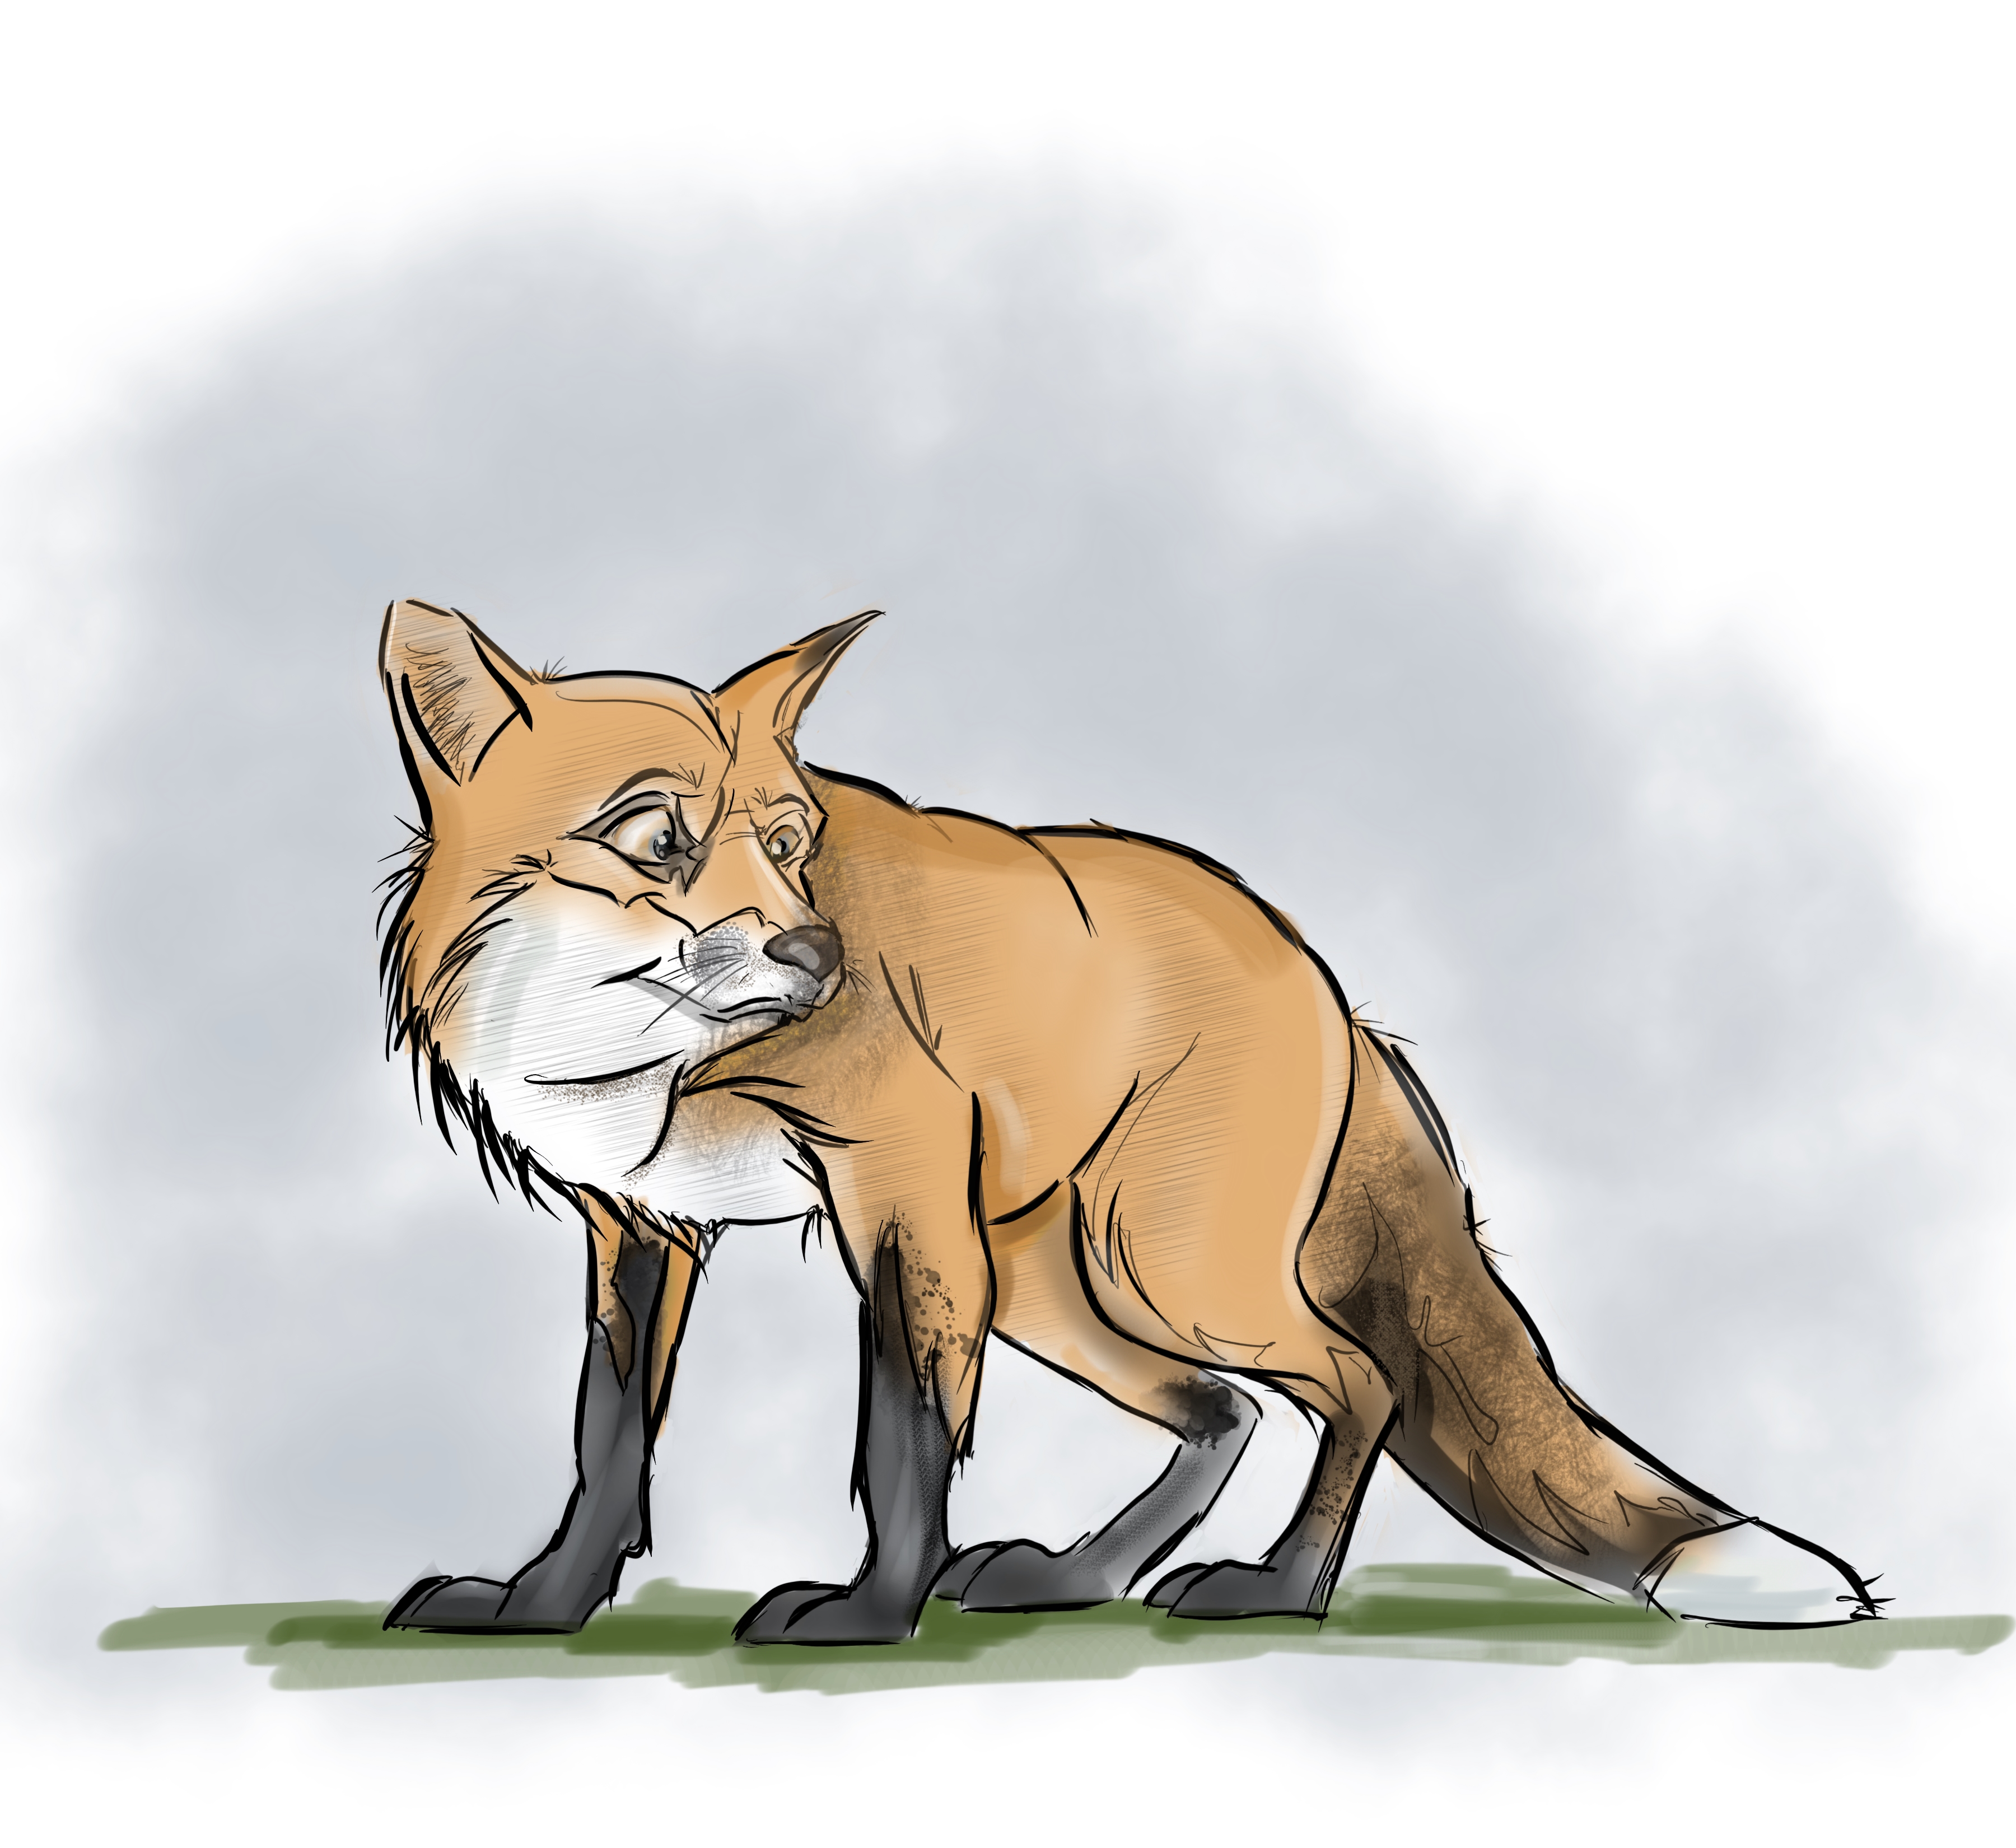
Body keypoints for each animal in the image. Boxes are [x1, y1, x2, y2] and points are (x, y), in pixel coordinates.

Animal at [375, 597, 1881, 1643]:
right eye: (655, 840)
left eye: (792, 842)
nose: (813, 955)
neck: (643, 1058)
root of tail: (1328, 982)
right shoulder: (640, 1226)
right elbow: (607, 1440)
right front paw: (543, 1606)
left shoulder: (894, 1192)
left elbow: (902, 1440)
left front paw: (871, 1615)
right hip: (1046, 1286)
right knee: (1223, 1412)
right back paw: (1081, 1574)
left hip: (1153, 1265)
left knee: (1356, 1384)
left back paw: (1279, 1590)